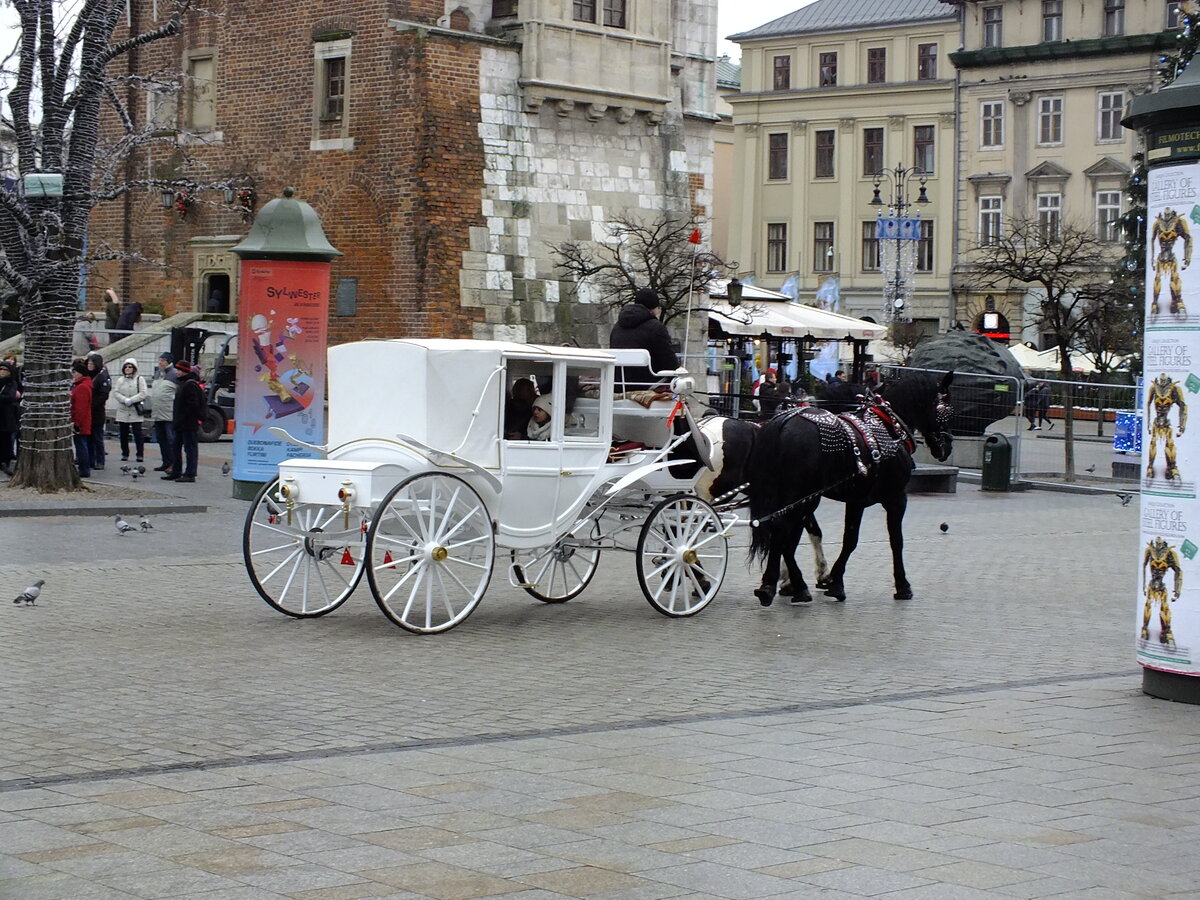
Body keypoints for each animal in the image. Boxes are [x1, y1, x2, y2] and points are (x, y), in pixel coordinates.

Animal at [744, 369, 950, 609]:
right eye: (948, 410)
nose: (947, 447)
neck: (890, 426)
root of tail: (782, 422)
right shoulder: (895, 498)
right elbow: (890, 541)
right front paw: (902, 586)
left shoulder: (856, 499)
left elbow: (848, 539)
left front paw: (832, 580)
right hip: (803, 496)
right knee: (784, 532)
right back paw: (787, 586)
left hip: (796, 496)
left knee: (784, 533)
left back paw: (780, 586)